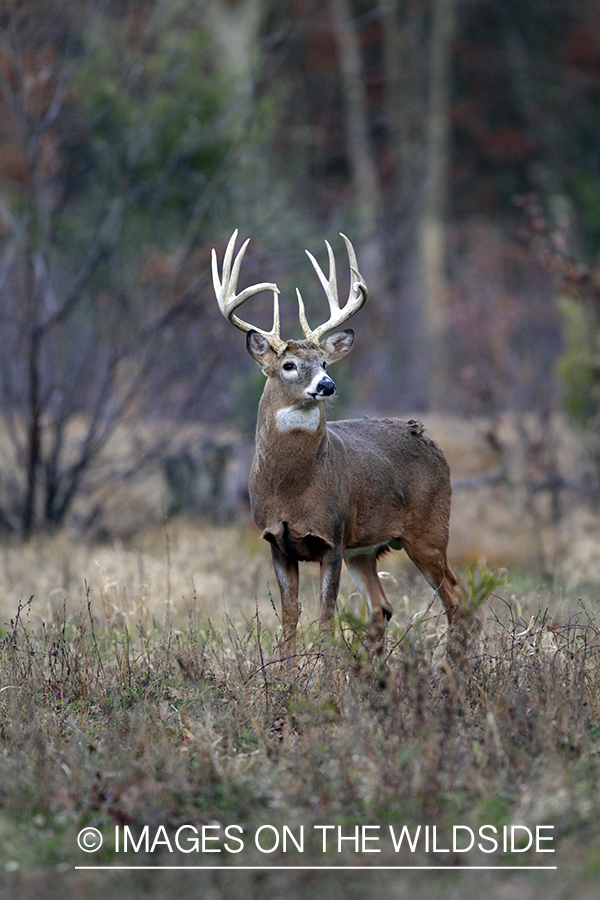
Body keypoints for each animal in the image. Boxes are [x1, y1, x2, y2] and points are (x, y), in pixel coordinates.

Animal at [212, 230, 464, 652]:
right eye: (289, 365)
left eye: (325, 363)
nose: (327, 385)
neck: (293, 489)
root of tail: (429, 440)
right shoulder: (276, 541)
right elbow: (290, 618)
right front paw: (284, 668)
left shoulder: (332, 536)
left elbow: (326, 618)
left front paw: (324, 668)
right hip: (364, 551)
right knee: (382, 607)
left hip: (429, 530)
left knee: (457, 598)